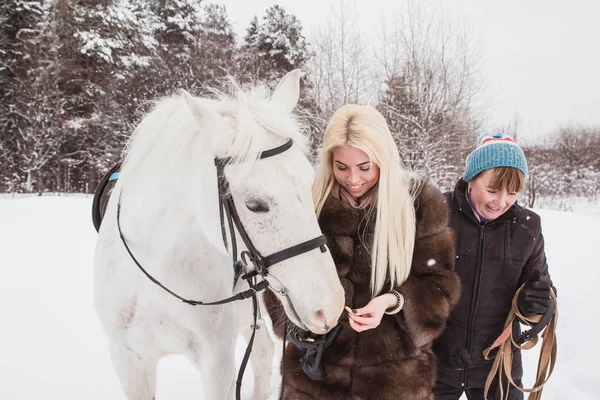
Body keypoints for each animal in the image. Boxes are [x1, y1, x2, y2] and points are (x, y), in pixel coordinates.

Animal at [95, 70, 344, 398]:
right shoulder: (127, 359)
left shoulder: (217, 363)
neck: (157, 276)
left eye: (309, 181)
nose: (330, 306)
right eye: (255, 204)